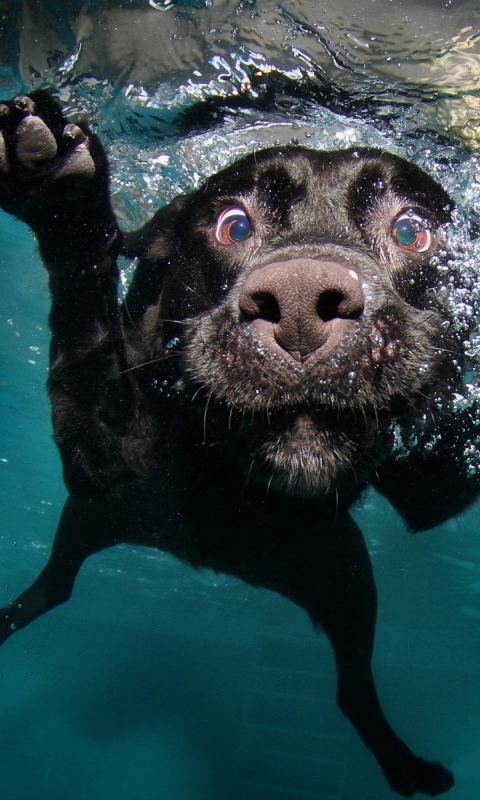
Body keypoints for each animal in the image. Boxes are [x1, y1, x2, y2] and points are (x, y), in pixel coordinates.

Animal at [0, 92, 476, 792]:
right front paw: (62, 186)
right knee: (54, 588)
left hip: (347, 579)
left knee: (351, 690)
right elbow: (87, 337)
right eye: (234, 226)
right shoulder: (101, 461)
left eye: (410, 231)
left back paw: (406, 765)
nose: (301, 303)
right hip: (89, 519)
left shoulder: (433, 493)